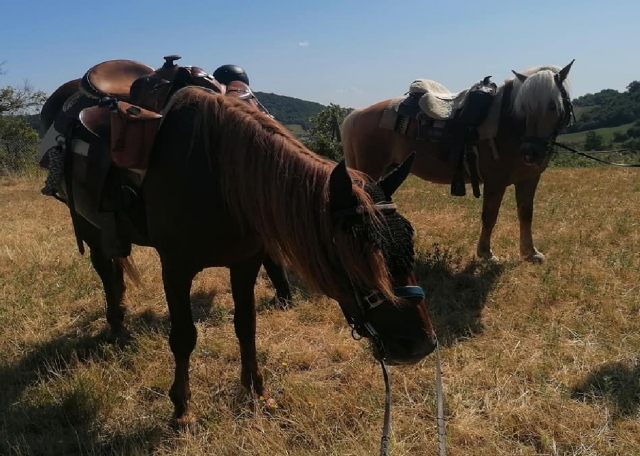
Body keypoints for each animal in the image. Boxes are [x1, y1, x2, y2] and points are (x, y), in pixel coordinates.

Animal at [40, 86, 437, 425]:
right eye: (359, 256)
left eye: (410, 244)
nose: (418, 344)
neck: (216, 179)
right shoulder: (176, 269)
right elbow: (183, 336)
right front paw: (182, 408)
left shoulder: (245, 263)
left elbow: (246, 326)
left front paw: (255, 391)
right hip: (89, 228)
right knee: (105, 272)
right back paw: (116, 326)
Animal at [341, 61, 575, 263]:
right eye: (524, 108)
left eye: (553, 106)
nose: (530, 152)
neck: (506, 125)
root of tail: (359, 113)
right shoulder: (495, 182)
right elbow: (490, 215)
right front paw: (486, 254)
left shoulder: (529, 179)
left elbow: (526, 214)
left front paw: (530, 253)